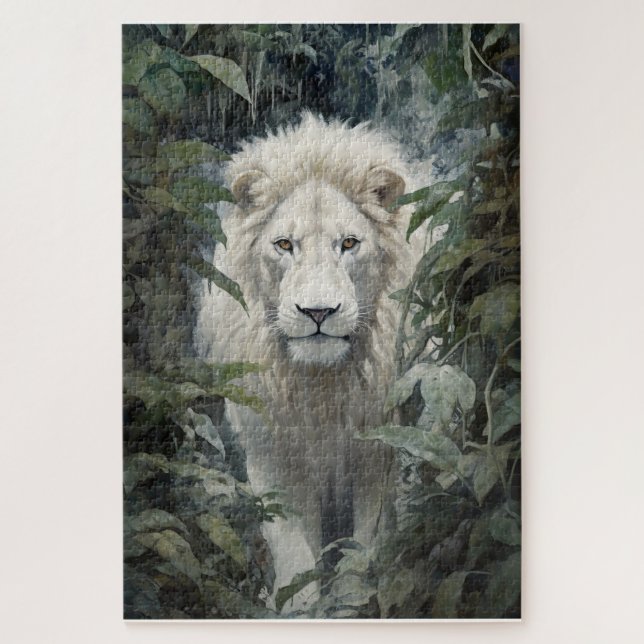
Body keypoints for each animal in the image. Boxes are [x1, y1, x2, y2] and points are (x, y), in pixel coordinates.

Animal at [195, 113, 416, 611]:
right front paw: (299, 608)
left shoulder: (380, 447)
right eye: (284, 245)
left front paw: (353, 604)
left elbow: (365, 543)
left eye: (349, 243)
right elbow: (293, 547)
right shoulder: (275, 449)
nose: (318, 312)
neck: (321, 385)